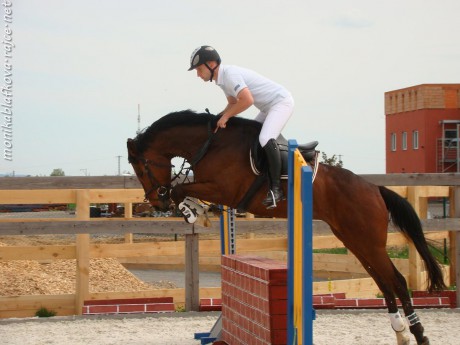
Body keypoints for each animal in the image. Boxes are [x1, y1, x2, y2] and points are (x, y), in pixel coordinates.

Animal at [126, 109, 446, 342]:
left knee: (397, 280)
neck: (209, 144)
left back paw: (419, 333)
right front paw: (196, 210)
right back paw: (400, 331)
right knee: (383, 281)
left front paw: (193, 212)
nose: (155, 202)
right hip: (354, 240)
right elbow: (182, 187)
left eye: (141, 167)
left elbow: (181, 188)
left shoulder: (225, 189)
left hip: (368, 241)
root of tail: (374, 189)